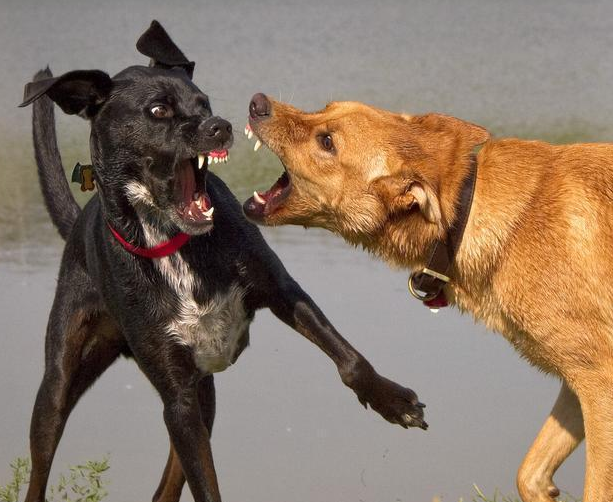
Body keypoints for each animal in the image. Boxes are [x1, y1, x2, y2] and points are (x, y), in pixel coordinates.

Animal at [16, 21, 424, 502]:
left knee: (166, 488)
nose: (221, 126)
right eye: (158, 110)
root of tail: (80, 222)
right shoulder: (176, 398)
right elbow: (205, 484)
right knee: (41, 462)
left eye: (204, 102)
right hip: (61, 382)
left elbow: (349, 359)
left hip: (203, 397)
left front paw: (392, 402)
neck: (172, 244)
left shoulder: (281, 290)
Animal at [241, 94, 612, 502]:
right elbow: (529, 473)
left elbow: (595, 488)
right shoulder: (578, 380)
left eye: (327, 142)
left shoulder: (599, 382)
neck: (468, 212)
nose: (258, 102)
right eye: (327, 106)